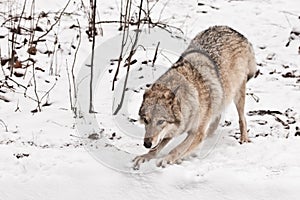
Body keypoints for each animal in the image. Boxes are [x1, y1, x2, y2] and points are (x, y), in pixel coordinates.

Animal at [133, 24, 255, 169]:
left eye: (161, 121)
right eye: (146, 120)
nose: (146, 143)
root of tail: (234, 31)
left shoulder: (196, 132)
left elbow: (177, 149)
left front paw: (168, 159)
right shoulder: (177, 130)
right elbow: (158, 148)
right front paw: (145, 156)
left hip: (237, 95)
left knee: (242, 119)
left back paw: (243, 139)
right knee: (217, 118)